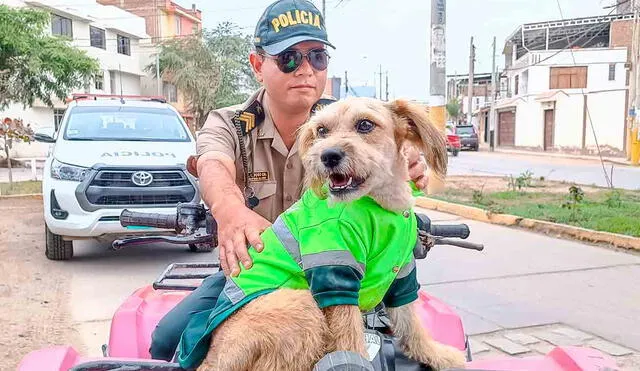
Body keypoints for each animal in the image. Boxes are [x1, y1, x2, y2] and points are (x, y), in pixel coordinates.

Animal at [195, 97, 464, 370]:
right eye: (322, 130)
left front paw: (437, 354)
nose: (328, 156)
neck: (379, 205)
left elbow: (411, 322)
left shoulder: (401, 271)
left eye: (365, 124)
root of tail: (213, 356)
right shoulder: (337, 272)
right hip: (302, 308)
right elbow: (351, 338)